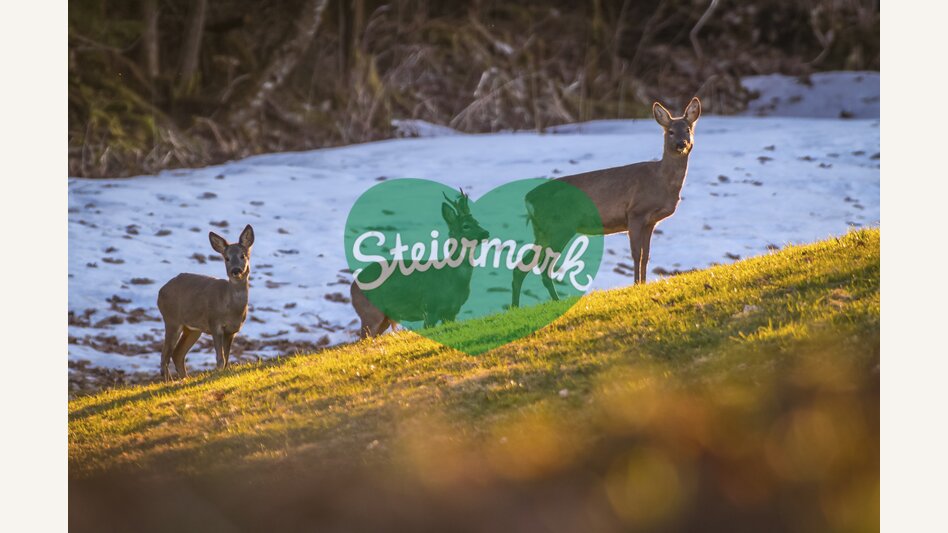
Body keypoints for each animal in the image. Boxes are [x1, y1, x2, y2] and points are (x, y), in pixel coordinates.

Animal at [156, 224, 255, 380]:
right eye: (226, 258)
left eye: (243, 256)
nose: (235, 270)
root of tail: (160, 291)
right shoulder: (215, 324)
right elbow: (220, 358)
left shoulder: (232, 331)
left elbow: (226, 359)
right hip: (171, 319)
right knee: (164, 355)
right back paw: (170, 381)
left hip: (193, 329)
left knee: (177, 353)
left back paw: (184, 379)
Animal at [350, 191, 489, 338]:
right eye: (466, 225)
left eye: (477, 222)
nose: (486, 233)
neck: (451, 278)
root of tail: (352, 288)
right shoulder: (429, 308)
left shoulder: (452, 311)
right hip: (370, 311)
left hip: (384, 318)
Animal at [511, 97, 701, 308]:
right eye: (670, 131)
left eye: (688, 129)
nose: (681, 144)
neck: (661, 181)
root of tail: (528, 198)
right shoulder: (635, 213)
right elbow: (636, 253)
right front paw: (636, 285)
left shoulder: (651, 221)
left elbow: (646, 256)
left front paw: (643, 284)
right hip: (558, 226)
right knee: (543, 267)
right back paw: (554, 301)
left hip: (543, 230)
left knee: (522, 266)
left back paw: (516, 307)